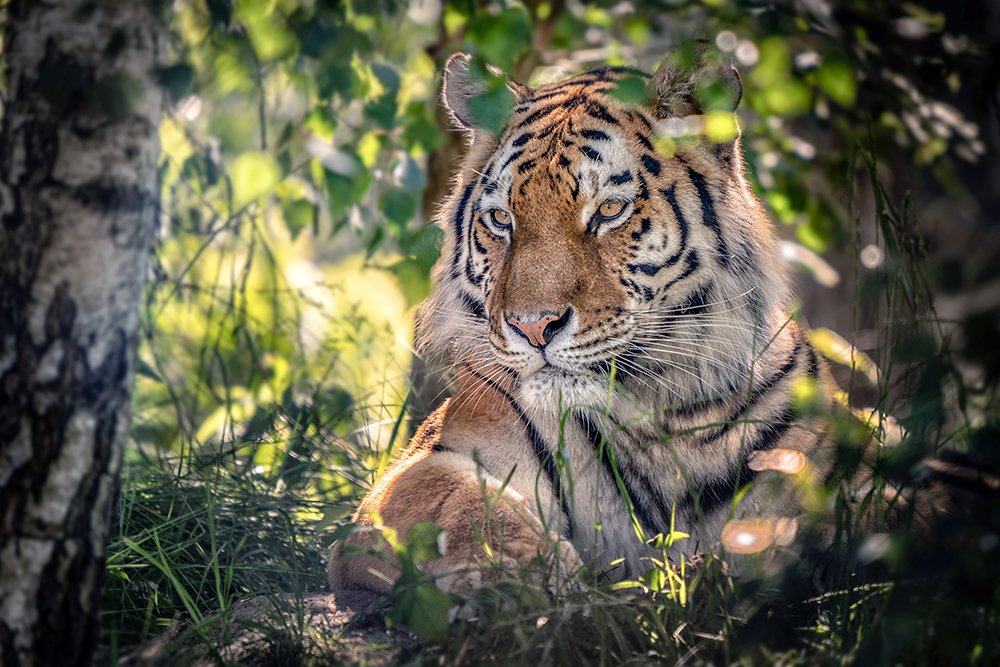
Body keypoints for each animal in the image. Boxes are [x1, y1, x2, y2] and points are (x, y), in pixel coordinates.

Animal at [328, 46, 852, 594]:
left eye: (609, 210)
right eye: (501, 219)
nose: (533, 327)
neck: (657, 413)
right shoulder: (419, 468)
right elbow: (465, 505)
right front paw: (534, 576)